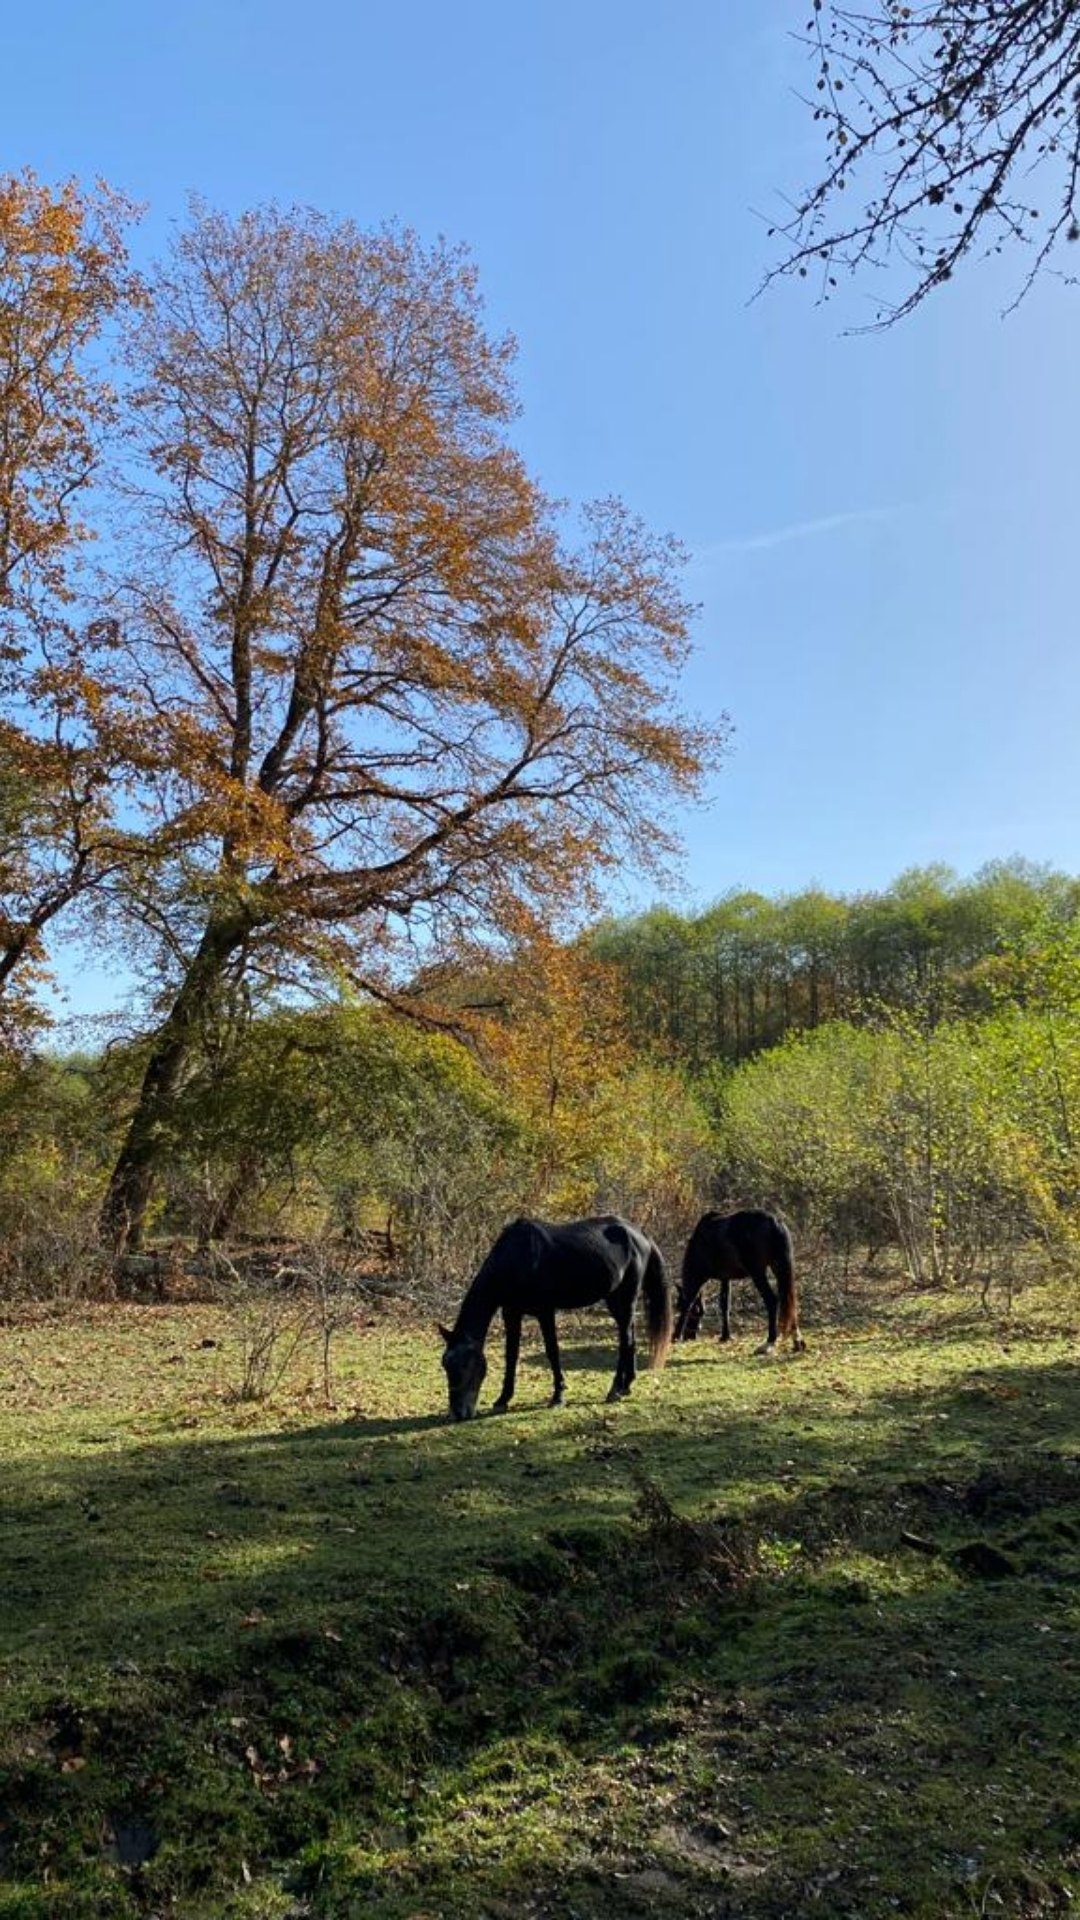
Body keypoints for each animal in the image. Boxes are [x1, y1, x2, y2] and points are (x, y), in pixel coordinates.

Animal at [434, 1221, 668, 1420]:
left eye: (465, 1365)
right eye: (446, 1365)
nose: (457, 1413)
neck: (516, 1258)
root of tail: (639, 1234)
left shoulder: (545, 1311)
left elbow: (552, 1351)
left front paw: (558, 1396)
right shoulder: (511, 1313)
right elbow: (511, 1355)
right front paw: (503, 1399)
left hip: (626, 1297)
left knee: (625, 1339)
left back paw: (614, 1389)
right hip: (614, 1299)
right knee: (629, 1336)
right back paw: (627, 1385)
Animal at [672, 1213, 799, 1351]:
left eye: (678, 1306)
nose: (689, 1336)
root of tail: (774, 1222)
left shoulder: (699, 1278)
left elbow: (688, 1303)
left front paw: (675, 1336)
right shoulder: (725, 1278)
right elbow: (724, 1304)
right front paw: (725, 1336)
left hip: (758, 1273)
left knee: (772, 1300)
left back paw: (770, 1341)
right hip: (779, 1267)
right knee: (788, 1300)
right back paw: (797, 1342)